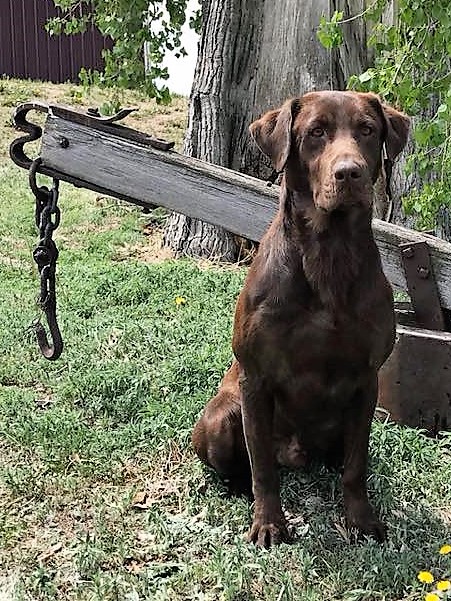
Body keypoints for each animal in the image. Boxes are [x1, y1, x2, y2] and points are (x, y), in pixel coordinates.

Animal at [192, 91, 412, 548]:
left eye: (367, 130)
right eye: (316, 132)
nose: (350, 173)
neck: (329, 253)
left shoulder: (367, 379)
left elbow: (356, 465)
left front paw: (360, 519)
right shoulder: (255, 379)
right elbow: (262, 467)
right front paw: (269, 523)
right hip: (220, 416)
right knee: (245, 461)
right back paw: (239, 487)